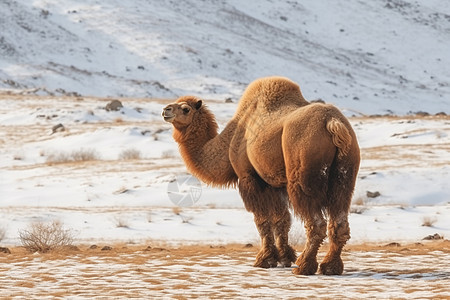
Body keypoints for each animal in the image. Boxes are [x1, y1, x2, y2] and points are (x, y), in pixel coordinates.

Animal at [160, 76, 360, 276]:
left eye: (185, 109)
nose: (165, 110)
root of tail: (333, 123)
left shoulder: (249, 178)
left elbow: (262, 220)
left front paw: (264, 259)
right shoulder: (274, 183)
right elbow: (281, 219)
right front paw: (284, 258)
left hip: (302, 174)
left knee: (316, 223)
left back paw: (304, 266)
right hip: (345, 174)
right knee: (340, 221)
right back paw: (330, 267)